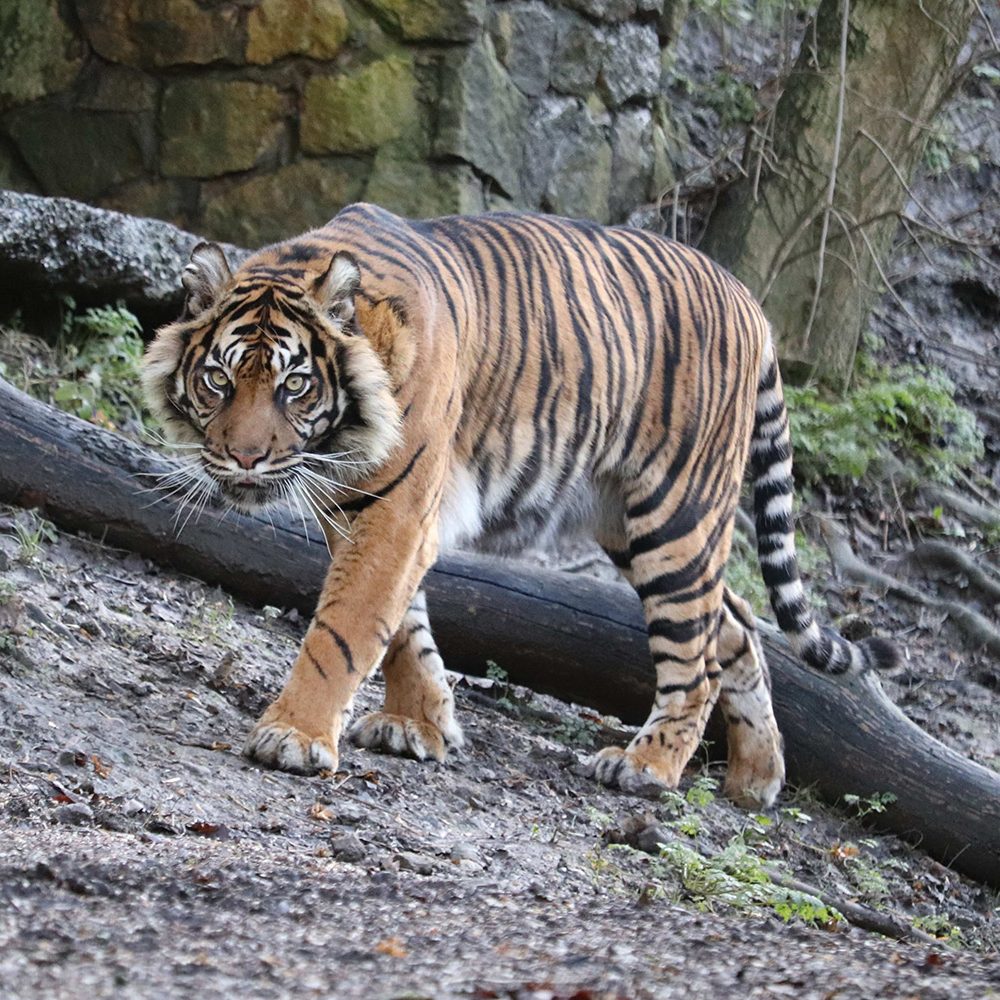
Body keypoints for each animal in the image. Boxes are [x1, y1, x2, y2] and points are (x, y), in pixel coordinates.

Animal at [143, 203, 900, 812]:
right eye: (218, 380)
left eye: (294, 386)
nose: (244, 459)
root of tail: (749, 299)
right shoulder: (367, 511)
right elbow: (402, 628)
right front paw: (421, 724)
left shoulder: (394, 515)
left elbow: (345, 630)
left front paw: (293, 736)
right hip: (629, 521)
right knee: (736, 623)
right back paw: (757, 777)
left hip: (676, 514)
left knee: (701, 655)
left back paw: (647, 767)